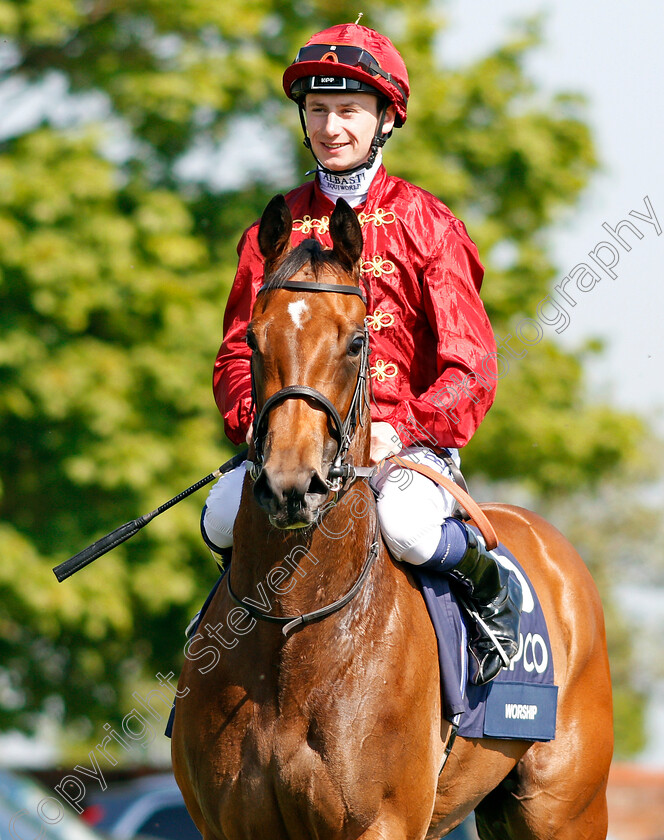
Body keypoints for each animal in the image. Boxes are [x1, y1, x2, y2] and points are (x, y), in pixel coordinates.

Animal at [171, 195, 612, 840]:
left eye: (357, 341)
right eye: (251, 338)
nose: (290, 486)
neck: (294, 629)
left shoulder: (382, 821)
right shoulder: (230, 824)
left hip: (565, 810)